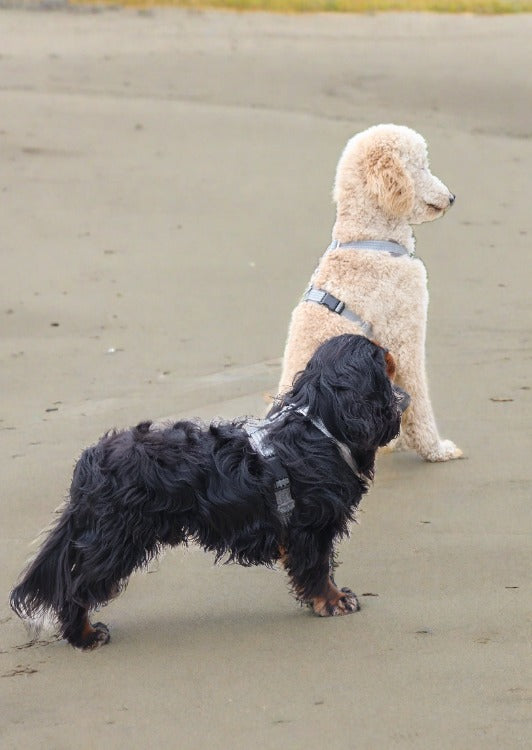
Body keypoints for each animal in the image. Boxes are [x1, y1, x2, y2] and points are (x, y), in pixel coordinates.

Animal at [10, 334, 410, 652]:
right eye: (385, 362)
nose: (404, 389)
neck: (321, 425)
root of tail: (91, 460)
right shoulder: (311, 528)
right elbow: (318, 567)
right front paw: (332, 601)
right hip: (115, 540)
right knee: (75, 588)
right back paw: (84, 636)